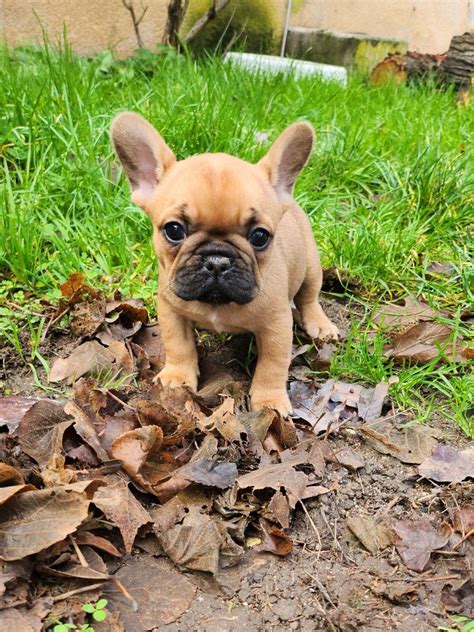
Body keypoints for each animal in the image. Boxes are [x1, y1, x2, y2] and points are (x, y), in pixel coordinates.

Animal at [111, 113, 338, 414]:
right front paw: (177, 377)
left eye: (260, 236)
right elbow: (178, 344)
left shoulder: (277, 325)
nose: (217, 261)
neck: (218, 304)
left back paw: (320, 324)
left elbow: (273, 364)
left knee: (309, 297)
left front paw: (269, 401)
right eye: (173, 230)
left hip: (311, 265)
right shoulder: (171, 309)